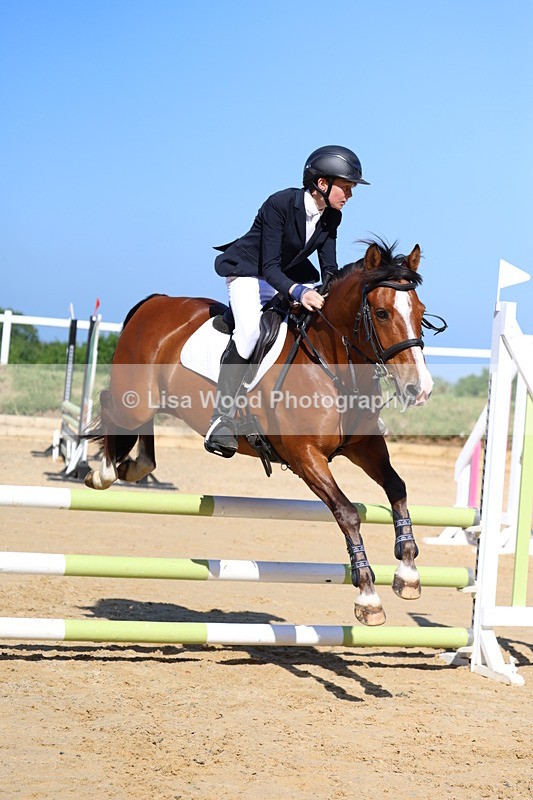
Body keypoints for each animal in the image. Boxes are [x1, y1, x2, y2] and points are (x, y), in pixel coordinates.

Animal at [86, 238, 439, 626]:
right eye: (381, 313)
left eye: (421, 312)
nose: (419, 389)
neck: (331, 364)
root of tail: (156, 302)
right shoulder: (305, 456)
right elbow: (347, 513)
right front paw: (368, 596)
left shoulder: (364, 446)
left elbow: (397, 488)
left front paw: (408, 573)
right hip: (134, 398)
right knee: (109, 405)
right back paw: (103, 473)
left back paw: (135, 465)